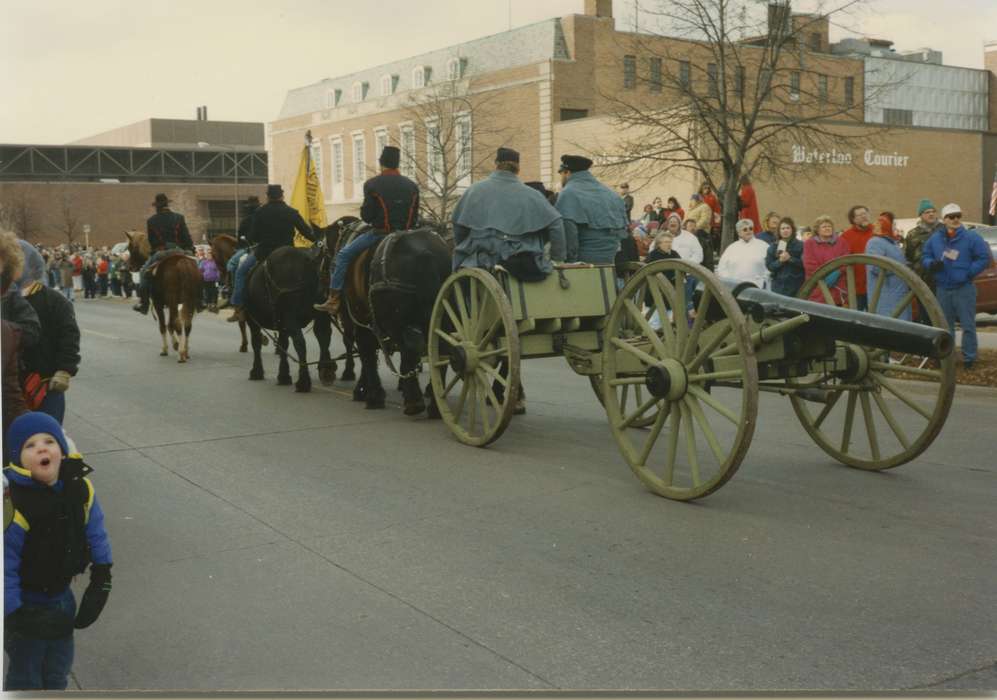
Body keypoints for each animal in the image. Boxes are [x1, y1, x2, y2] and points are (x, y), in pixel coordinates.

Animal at [125, 231, 201, 364]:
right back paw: (185, 351)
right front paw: (176, 344)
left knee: (176, 324)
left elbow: (163, 326)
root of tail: (182, 263)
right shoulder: (171, 304)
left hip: (173, 300)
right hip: (189, 300)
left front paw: (166, 348)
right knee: (187, 325)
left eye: (130, 248)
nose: (129, 266)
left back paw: (181, 354)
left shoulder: (158, 303)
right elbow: (170, 324)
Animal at [241, 243, 338, 392]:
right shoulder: (282, 323)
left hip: (290, 317)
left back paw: (303, 381)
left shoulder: (253, 320)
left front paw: (257, 371)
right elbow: (283, 344)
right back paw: (326, 370)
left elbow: (257, 343)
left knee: (300, 343)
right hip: (321, 313)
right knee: (323, 335)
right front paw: (284, 375)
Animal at [324, 221, 450, 412]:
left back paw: (414, 401)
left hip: (396, 321)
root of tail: (425, 253)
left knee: (409, 349)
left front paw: (370, 393)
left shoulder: (360, 318)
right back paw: (434, 402)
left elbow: (366, 351)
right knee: (439, 351)